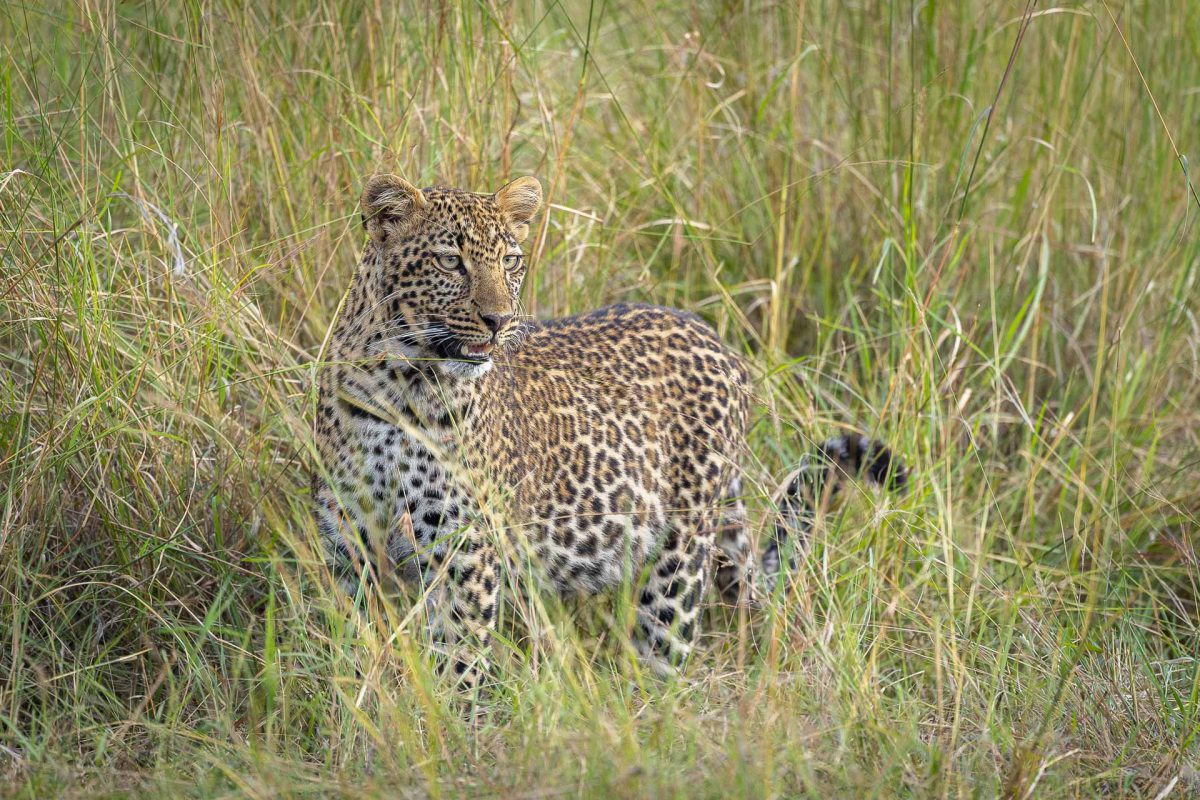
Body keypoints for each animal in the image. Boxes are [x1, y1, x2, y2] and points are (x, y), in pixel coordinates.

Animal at [312, 175, 907, 690]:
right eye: (449, 260)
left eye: (509, 261)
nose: (499, 321)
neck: (398, 385)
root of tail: (720, 343)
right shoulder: (348, 547)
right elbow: (351, 648)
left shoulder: (464, 554)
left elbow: (460, 659)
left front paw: (459, 725)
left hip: (679, 559)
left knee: (666, 653)